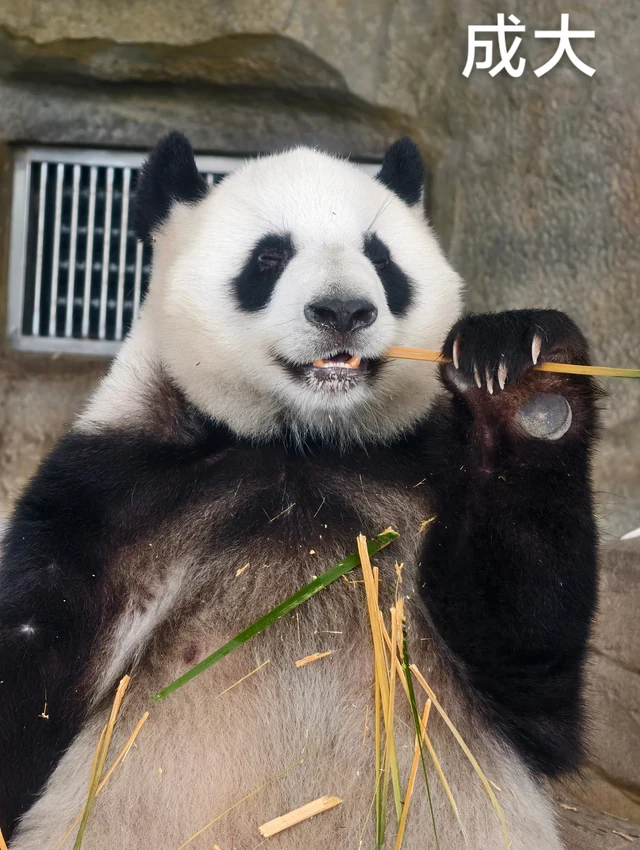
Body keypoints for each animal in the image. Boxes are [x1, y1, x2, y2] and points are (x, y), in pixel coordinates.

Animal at [0, 133, 599, 850]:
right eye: (269, 256)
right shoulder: (113, 497)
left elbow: (530, 663)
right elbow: (31, 663)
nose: (343, 311)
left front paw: (520, 376)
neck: (302, 444)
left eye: (381, 259)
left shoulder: (422, 474)